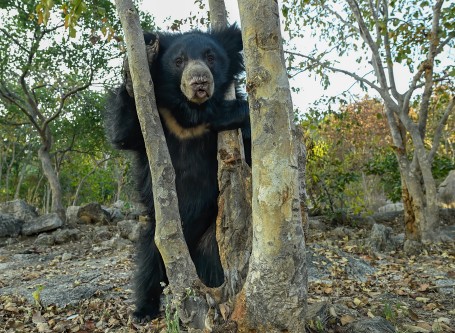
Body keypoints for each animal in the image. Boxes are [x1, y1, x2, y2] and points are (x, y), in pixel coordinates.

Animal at [104, 24, 249, 318]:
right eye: (179, 61)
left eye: (211, 57)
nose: (199, 82)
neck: (190, 113)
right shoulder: (156, 121)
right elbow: (122, 133)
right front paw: (132, 76)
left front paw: (230, 113)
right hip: (158, 232)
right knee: (149, 264)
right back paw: (143, 310)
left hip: (213, 231)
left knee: (213, 260)